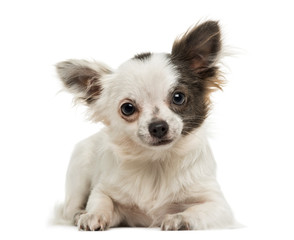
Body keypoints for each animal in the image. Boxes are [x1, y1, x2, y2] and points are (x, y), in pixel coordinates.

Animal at [55, 21, 235, 232]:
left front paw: (179, 218)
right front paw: (93, 215)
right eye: (128, 108)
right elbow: (100, 200)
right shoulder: (105, 190)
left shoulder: (220, 207)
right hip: (79, 169)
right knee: (70, 209)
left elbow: (197, 211)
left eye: (178, 97)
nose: (158, 126)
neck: (156, 162)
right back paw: (79, 213)